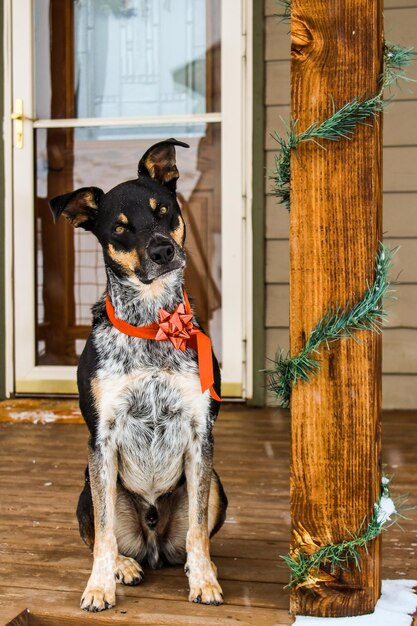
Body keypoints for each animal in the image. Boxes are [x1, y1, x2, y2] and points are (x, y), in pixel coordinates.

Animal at [50, 138, 229, 608]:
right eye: (119, 228)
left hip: (217, 485)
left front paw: (204, 580)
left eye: (163, 209)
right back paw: (125, 567)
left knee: (192, 536)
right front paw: (99, 586)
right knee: (102, 533)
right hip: (87, 485)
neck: (152, 324)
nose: (163, 250)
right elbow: (104, 534)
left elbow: (198, 530)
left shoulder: (199, 434)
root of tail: (152, 544)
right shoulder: (102, 439)